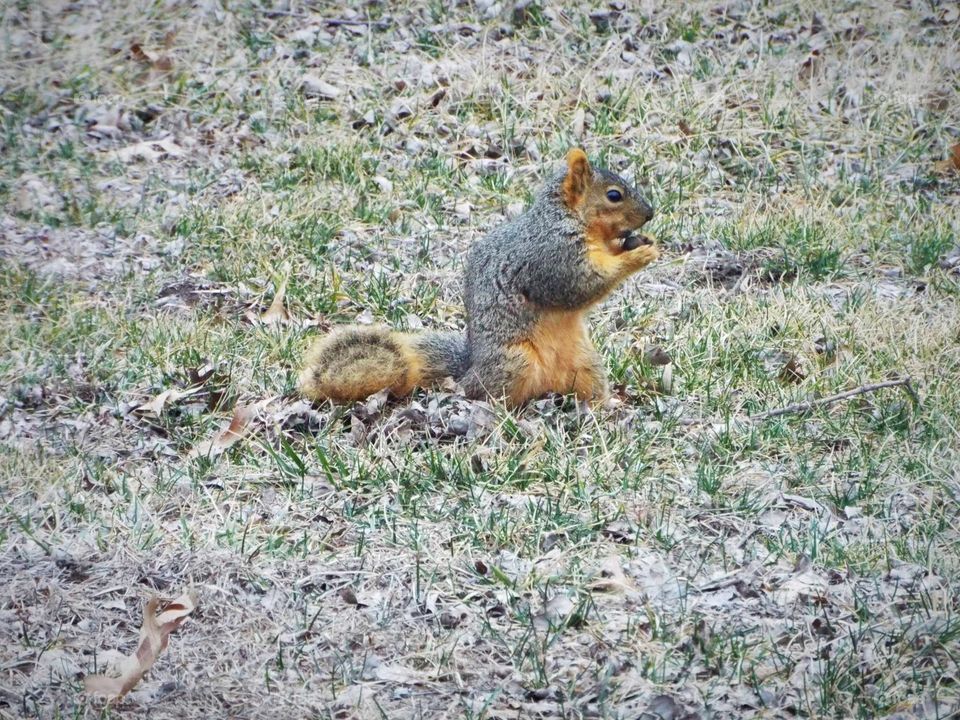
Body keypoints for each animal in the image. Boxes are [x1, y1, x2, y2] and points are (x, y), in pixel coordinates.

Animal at [298, 148, 658, 407]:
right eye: (614, 195)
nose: (651, 214)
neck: (564, 218)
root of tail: (466, 372)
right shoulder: (552, 257)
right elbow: (580, 285)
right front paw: (639, 256)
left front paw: (638, 243)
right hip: (514, 361)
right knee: (487, 394)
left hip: (586, 364)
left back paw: (606, 408)